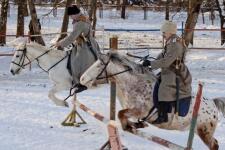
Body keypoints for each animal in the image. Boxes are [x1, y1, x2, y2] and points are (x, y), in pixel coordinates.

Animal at [80, 51, 225, 149]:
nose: (82, 79)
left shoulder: (140, 111)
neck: (134, 84)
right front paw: (135, 125)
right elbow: (123, 116)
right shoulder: (134, 111)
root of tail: (213, 103)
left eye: (99, 65)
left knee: (214, 145)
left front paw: (130, 126)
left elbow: (121, 114)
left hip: (204, 131)